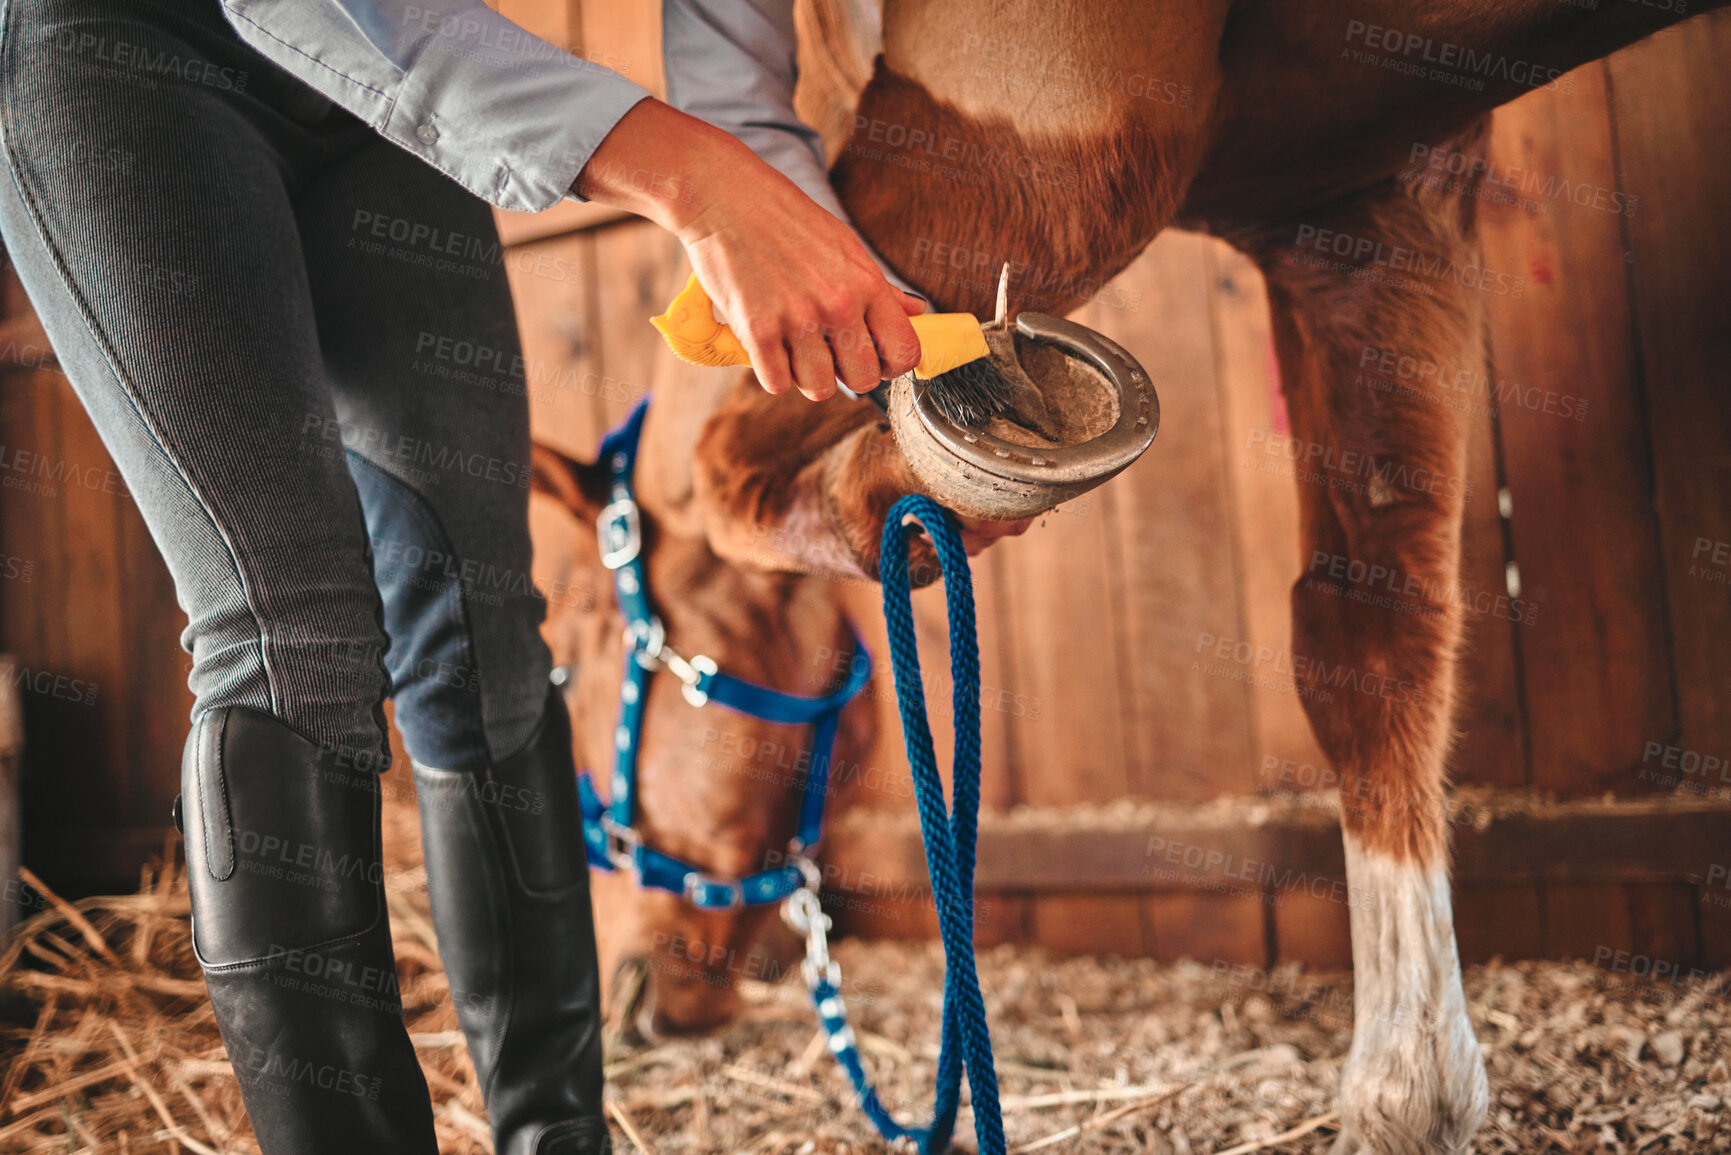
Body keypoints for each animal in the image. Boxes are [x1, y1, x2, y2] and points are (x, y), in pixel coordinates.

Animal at [533, 4, 1724, 1149]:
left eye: (583, 656)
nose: (626, 992)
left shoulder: (1035, 128)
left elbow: (726, 462)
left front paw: (913, 477)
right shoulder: (1367, 207)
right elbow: (1363, 638)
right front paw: (1414, 1084)